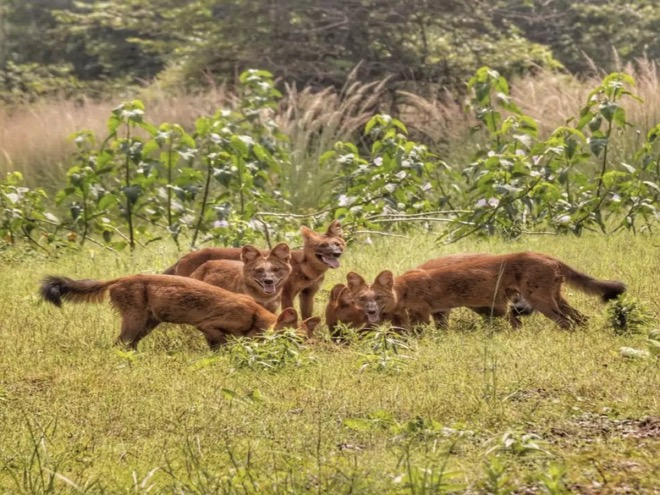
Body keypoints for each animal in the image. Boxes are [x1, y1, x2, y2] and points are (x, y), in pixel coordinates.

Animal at [40, 274, 320, 350]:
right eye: (293, 339)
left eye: (307, 339)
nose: (307, 351)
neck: (254, 315)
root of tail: (119, 278)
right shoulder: (208, 326)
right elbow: (221, 346)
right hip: (135, 321)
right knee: (119, 344)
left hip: (147, 324)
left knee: (129, 345)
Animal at [162, 220, 346, 318]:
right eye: (323, 246)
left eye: (337, 244)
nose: (336, 253)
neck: (309, 271)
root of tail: (185, 256)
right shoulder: (286, 293)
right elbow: (290, 312)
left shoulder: (308, 294)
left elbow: (307, 315)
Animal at [346, 254, 624, 332]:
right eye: (362, 299)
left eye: (378, 297)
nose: (371, 310)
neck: (402, 289)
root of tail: (547, 255)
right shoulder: (440, 312)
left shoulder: (422, 314)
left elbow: (417, 334)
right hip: (552, 299)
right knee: (581, 319)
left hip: (540, 301)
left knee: (566, 322)